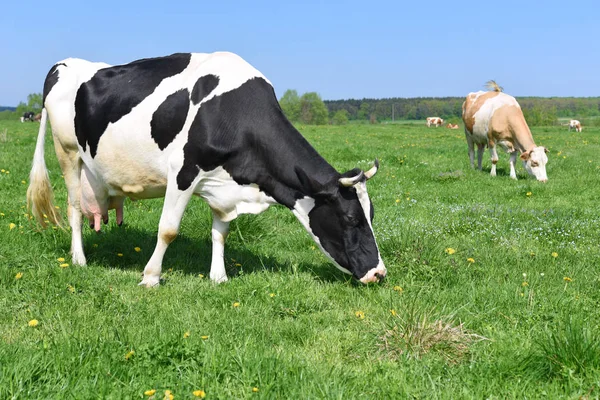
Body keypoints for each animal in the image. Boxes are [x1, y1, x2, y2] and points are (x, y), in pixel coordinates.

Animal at [27, 51, 384, 286]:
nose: (378, 272)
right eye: (350, 218)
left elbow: (220, 232)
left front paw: (219, 277)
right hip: (68, 154)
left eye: (372, 214)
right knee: (73, 207)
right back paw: (79, 260)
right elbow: (168, 229)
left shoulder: (223, 185)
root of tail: (65, 62)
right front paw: (151, 277)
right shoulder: (183, 172)